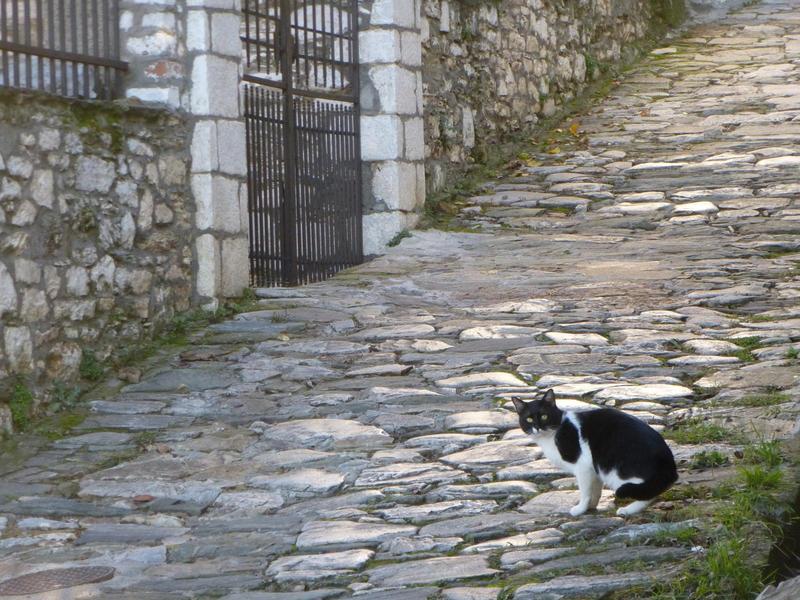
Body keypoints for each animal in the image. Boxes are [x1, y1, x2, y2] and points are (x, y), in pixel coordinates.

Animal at [516, 390, 680, 516]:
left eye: (544, 416)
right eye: (529, 419)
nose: (537, 427)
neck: (551, 435)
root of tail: (668, 461)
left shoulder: (583, 466)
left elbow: (585, 491)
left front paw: (580, 509)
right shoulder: (593, 470)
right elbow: (595, 491)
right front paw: (590, 507)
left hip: (614, 471)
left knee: (649, 493)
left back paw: (627, 510)